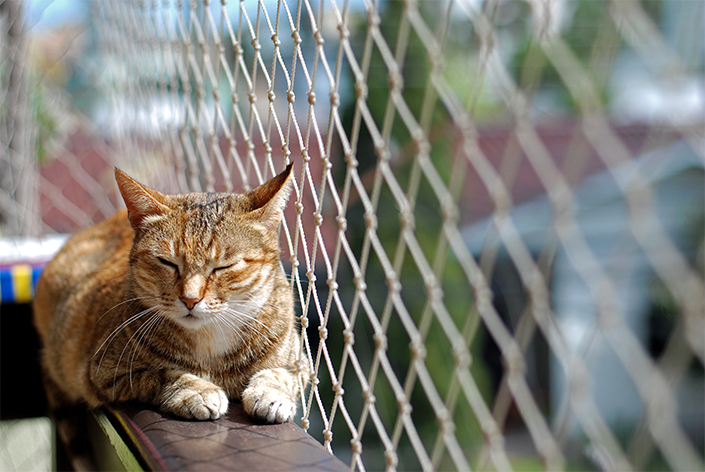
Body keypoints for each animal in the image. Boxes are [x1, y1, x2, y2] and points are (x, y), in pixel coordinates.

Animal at [33, 163, 306, 432]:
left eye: (223, 267)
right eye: (167, 262)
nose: (190, 299)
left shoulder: (301, 363)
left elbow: (281, 373)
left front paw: (272, 394)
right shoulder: (105, 372)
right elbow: (163, 373)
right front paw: (196, 390)